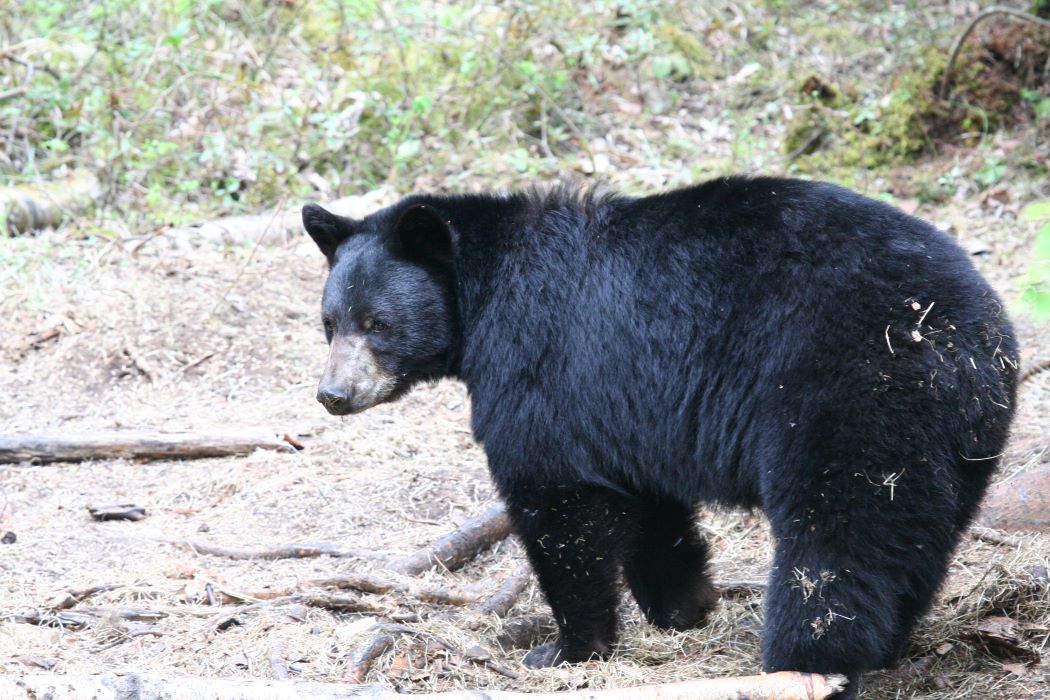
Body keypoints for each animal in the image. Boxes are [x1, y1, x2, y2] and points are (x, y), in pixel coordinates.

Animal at [302, 176, 1018, 697]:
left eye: (378, 323)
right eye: (330, 322)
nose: (333, 395)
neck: (481, 294)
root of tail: (967, 333)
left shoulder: (541, 365)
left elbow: (557, 502)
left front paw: (566, 648)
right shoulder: (629, 407)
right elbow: (650, 508)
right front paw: (683, 608)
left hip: (850, 390)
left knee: (839, 538)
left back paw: (804, 664)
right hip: (960, 438)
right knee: (917, 539)